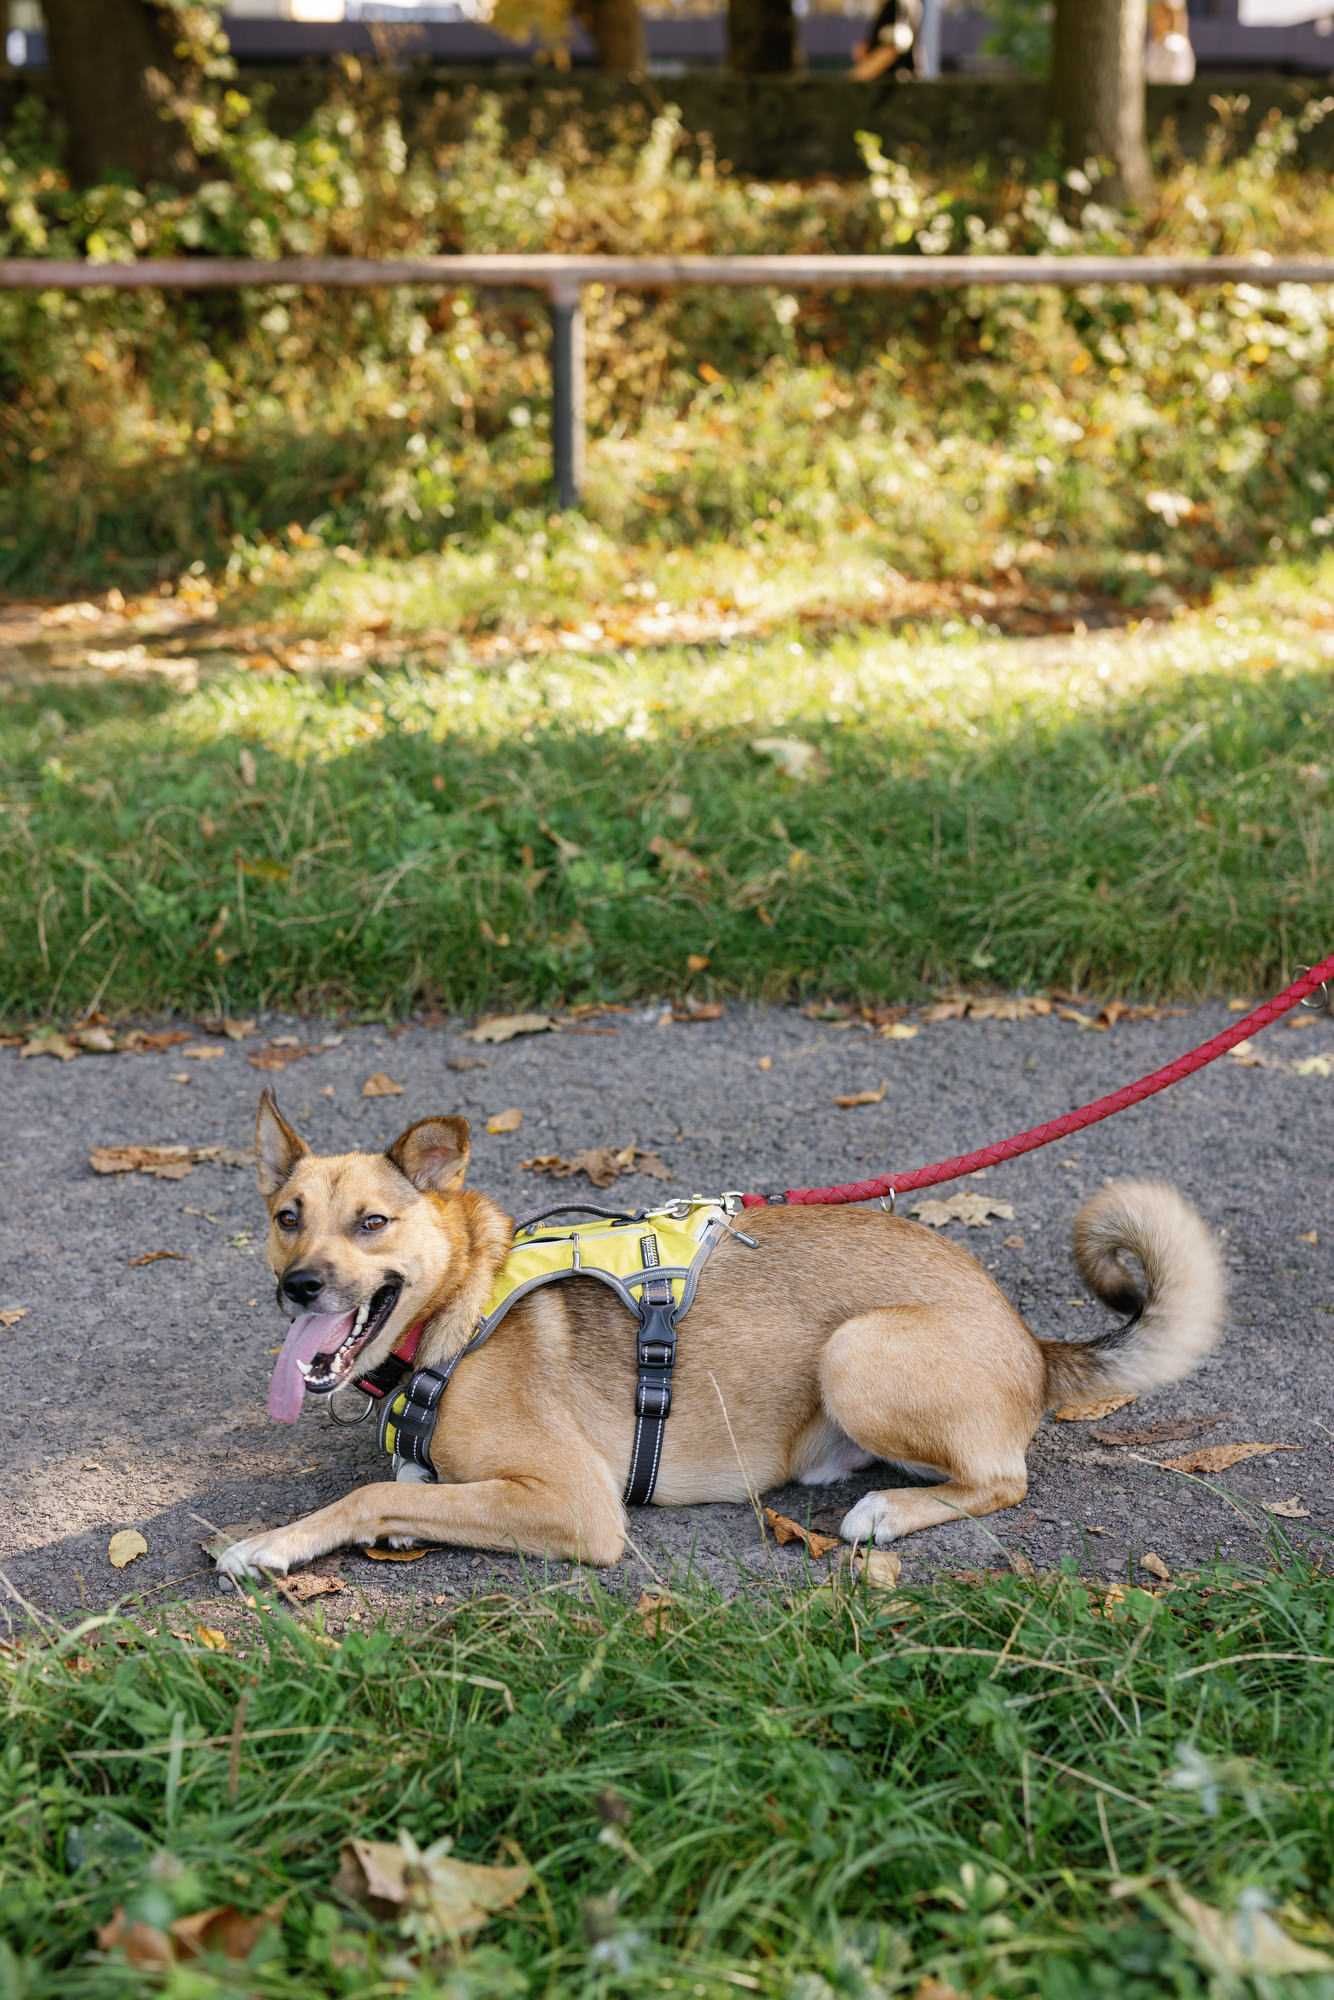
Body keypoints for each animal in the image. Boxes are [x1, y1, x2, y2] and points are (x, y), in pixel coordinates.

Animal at [214, 1096, 1224, 1576]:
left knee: (1003, 1481)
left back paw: (887, 1512)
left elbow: (367, 1496)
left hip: (856, 1352)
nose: (298, 1287)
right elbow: (403, 1486)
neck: (462, 1304)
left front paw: (271, 1543)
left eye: (372, 1224)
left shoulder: (578, 1504)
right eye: (288, 1217)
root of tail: (1029, 1339)